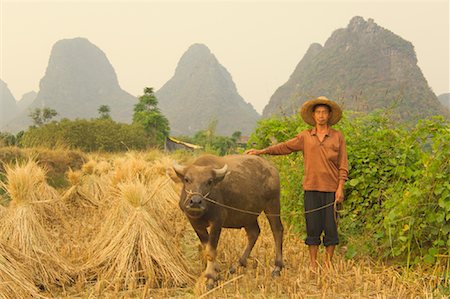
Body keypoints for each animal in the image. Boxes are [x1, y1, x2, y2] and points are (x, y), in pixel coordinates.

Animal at [174, 155, 284, 288]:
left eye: (209, 181)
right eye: (187, 179)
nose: (195, 201)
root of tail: (272, 168)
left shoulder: (217, 221)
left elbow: (211, 250)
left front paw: (210, 277)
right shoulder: (195, 223)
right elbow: (206, 247)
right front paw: (216, 270)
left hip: (273, 204)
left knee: (277, 230)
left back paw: (277, 267)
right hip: (247, 215)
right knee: (254, 233)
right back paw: (238, 265)